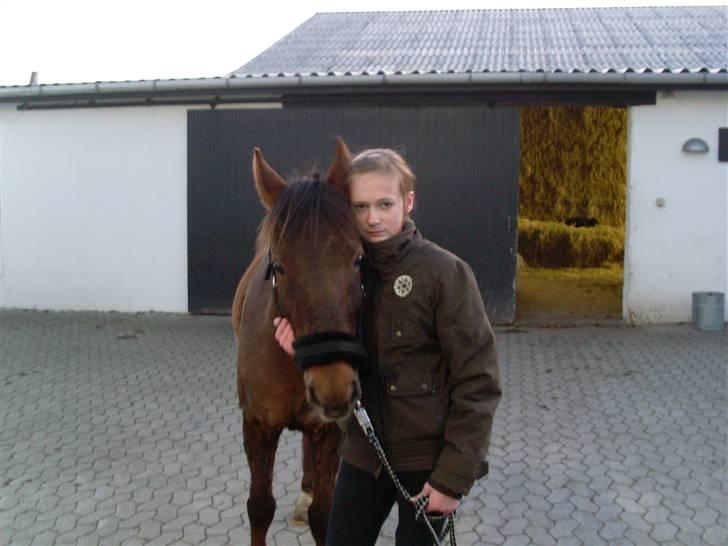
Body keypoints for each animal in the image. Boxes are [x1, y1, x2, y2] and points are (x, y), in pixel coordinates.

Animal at [232, 139, 364, 546]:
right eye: (278, 267)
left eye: (358, 259)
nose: (333, 387)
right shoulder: (257, 426)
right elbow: (260, 507)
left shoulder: (329, 429)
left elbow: (325, 514)